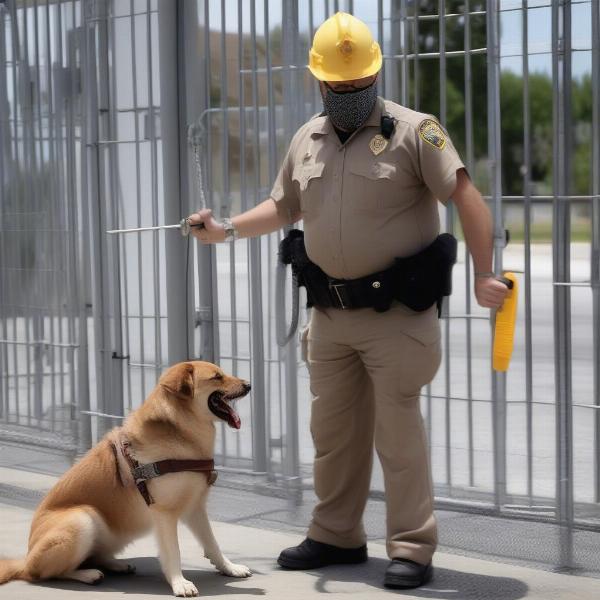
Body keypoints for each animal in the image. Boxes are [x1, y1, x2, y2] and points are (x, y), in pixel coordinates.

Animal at [0, 360, 252, 596]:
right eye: (217, 377)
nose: (249, 385)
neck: (179, 431)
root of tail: (25, 560)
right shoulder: (164, 513)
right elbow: (174, 552)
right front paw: (179, 583)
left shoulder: (195, 508)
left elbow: (212, 543)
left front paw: (230, 568)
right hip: (82, 518)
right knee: (44, 573)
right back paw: (88, 574)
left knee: (92, 556)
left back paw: (116, 565)